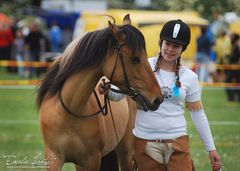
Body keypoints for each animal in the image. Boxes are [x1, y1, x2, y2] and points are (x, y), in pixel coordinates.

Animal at [37, 15, 163, 171]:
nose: (158, 99)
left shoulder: (90, 161)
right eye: (135, 59)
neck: (70, 112)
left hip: (125, 152)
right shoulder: (53, 158)